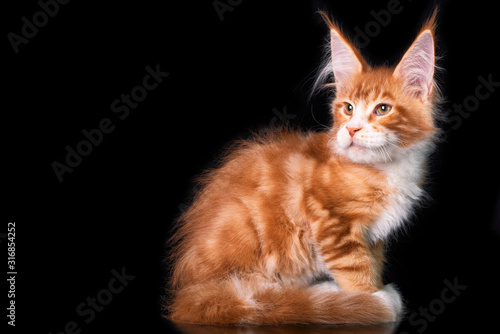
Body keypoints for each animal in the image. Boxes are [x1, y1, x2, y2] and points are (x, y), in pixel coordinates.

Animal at [167, 9, 442, 324]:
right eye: (348, 108)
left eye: (382, 109)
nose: (351, 129)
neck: (384, 166)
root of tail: (189, 294)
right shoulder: (332, 224)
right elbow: (356, 272)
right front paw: (370, 299)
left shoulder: (374, 238)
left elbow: (372, 265)